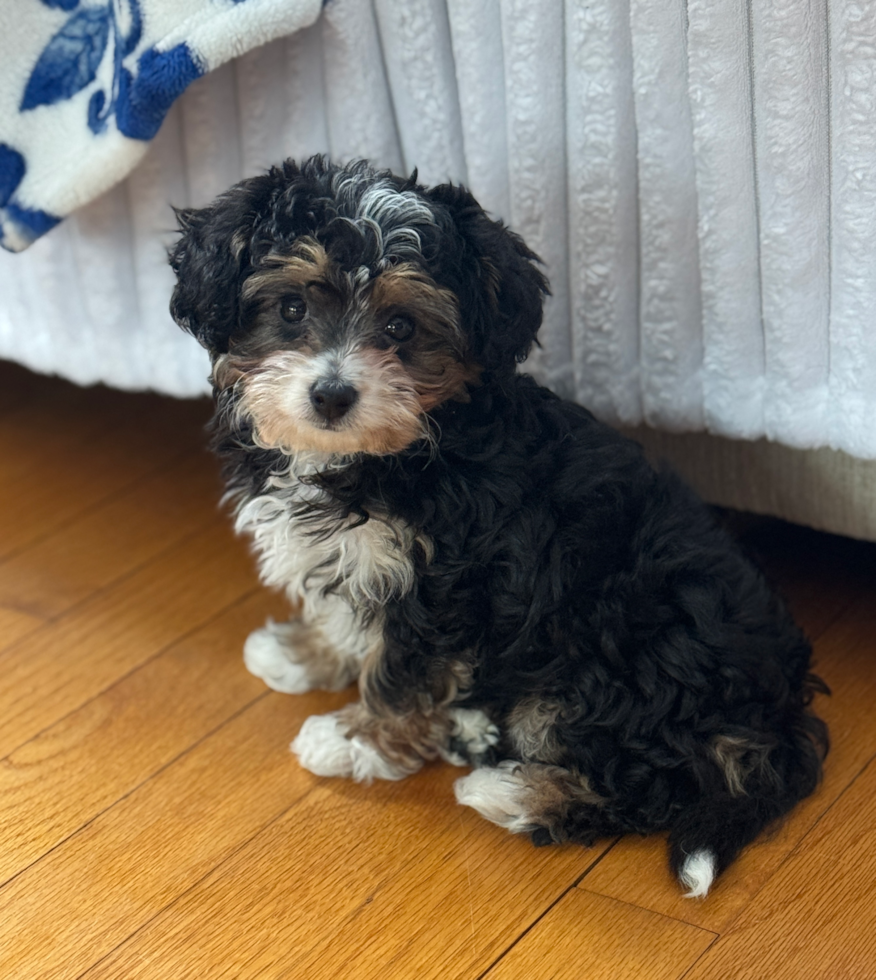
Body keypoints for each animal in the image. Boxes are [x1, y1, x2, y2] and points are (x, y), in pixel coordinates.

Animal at [169, 156, 827, 898]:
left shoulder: (440, 582)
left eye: (401, 327)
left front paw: (359, 738)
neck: (393, 450)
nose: (332, 395)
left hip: (615, 658)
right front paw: (307, 651)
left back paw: (512, 793)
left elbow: (401, 664)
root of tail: (774, 715)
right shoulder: (365, 556)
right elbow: (347, 612)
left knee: (648, 784)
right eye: (291, 309)